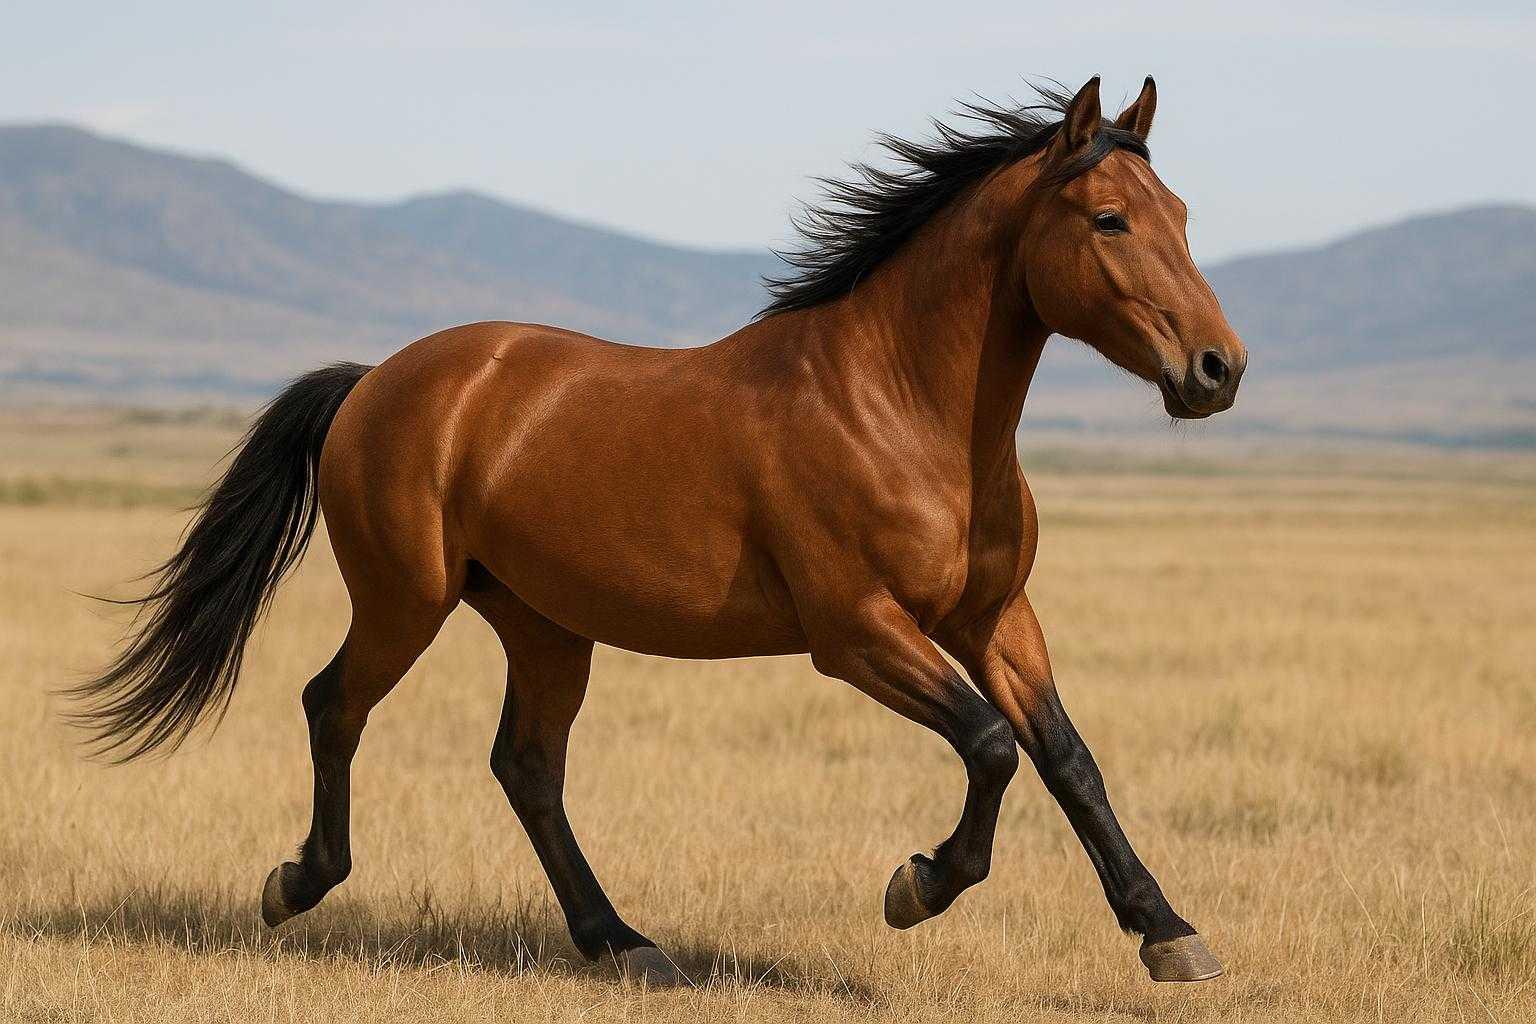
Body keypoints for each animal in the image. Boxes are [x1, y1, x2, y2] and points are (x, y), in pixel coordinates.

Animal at [76, 76, 1246, 985]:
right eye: (1110, 220)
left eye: (1183, 214)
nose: (1218, 370)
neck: (901, 407)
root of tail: (376, 383)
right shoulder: (856, 632)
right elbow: (994, 745)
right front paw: (916, 886)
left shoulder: (994, 615)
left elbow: (1067, 759)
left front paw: (1169, 933)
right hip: (408, 601)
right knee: (335, 707)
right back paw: (297, 884)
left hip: (544, 624)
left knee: (525, 766)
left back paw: (623, 942)